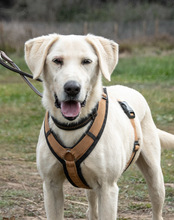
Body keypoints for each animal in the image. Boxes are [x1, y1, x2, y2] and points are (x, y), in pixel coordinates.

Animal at [24, 33, 173, 219]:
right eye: (57, 60)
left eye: (86, 61)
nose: (72, 88)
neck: (73, 126)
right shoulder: (51, 185)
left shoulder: (108, 189)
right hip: (90, 186)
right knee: (92, 209)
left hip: (154, 176)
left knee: (156, 204)